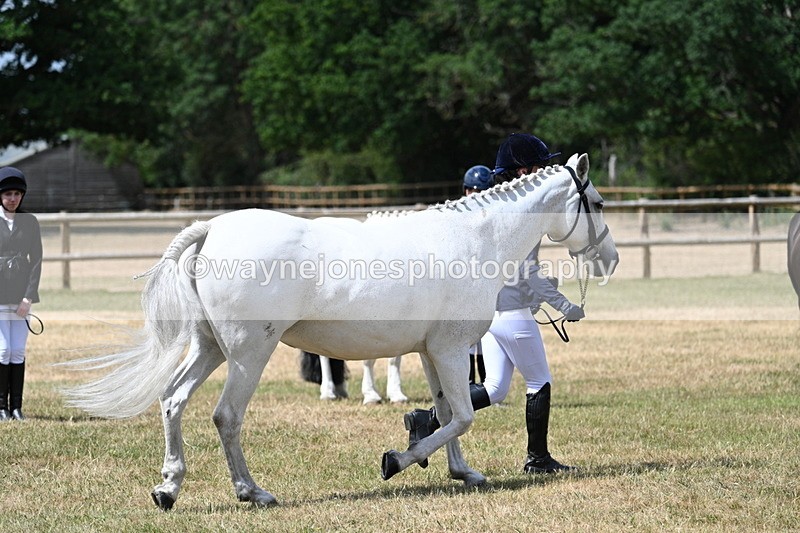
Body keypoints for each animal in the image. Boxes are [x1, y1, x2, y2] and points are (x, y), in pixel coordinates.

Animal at [63, 153, 618, 510]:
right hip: (248, 353)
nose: (609, 260)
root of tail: (214, 229)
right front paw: (397, 460)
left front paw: (462, 472)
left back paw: (168, 489)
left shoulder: (433, 351)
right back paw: (253, 492)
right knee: (226, 417)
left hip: (209, 349)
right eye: (597, 202)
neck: (472, 239)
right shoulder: (451, 349)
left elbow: (444, 413)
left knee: (173, 401)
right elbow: (460, 417)